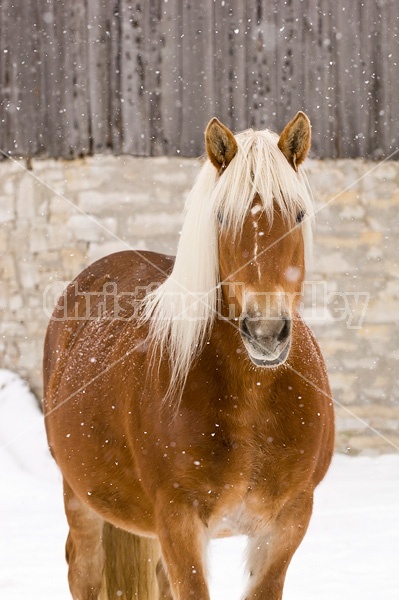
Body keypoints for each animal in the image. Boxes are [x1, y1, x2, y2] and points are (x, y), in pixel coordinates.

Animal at [43, 113, 334, 600]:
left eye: (298, 215)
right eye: (221, 216)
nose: (266, 332)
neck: (252, 395)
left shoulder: (288, 522)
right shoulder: (178, 521)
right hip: (79, 500)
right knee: (83, 571)